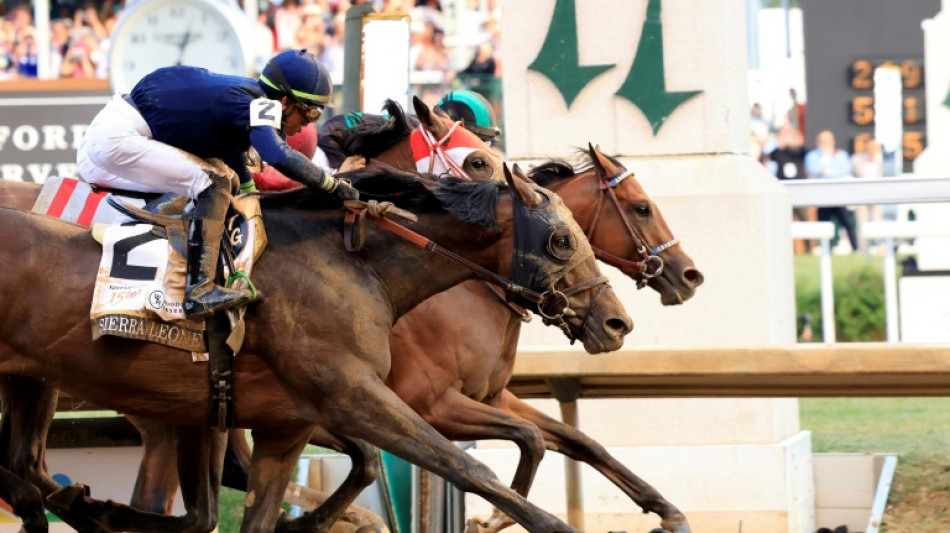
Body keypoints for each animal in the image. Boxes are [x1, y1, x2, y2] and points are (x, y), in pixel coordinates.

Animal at [0, 163, 632, 532]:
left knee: (25, 463)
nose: (617, 322)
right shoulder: (357, 395)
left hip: (38, 381)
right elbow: (468, 466)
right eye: (561, 240)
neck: (355, 265)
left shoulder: (285, 423)